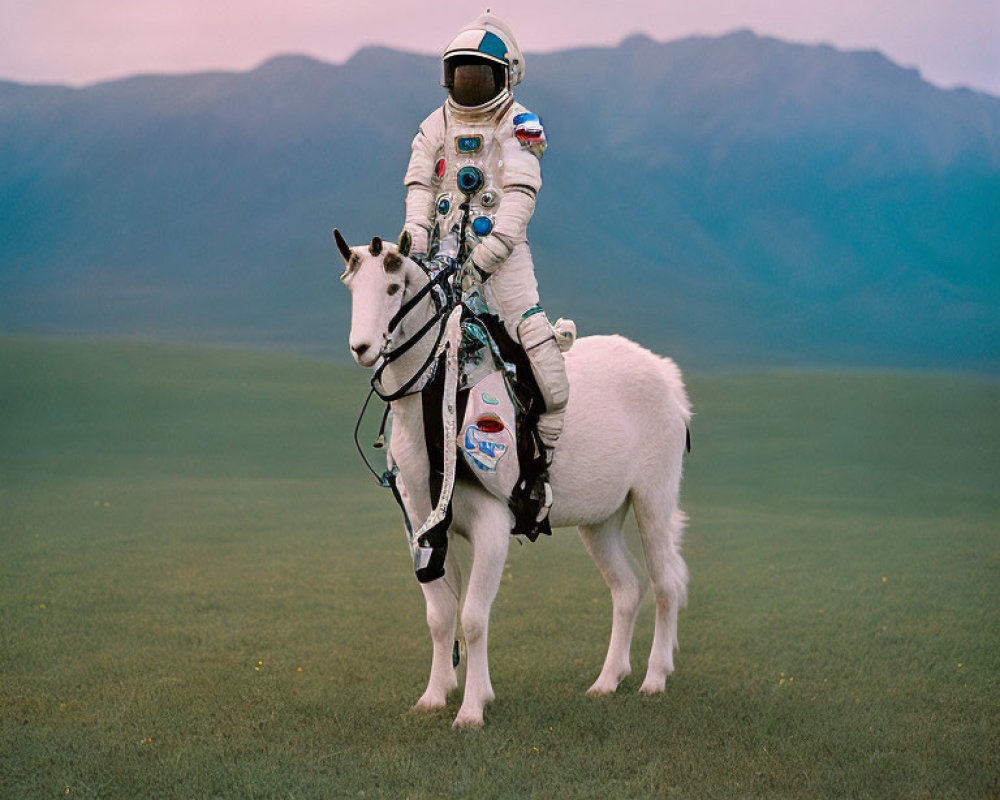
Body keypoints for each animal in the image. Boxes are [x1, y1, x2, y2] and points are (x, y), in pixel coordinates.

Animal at [340, 234, 692, 728]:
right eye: (351, 286)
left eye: (392, 287)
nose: (362, 347)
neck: (438, 408)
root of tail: (666, 376)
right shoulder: (423, 532)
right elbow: (440, 616)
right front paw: (434, 696)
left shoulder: (491, 527)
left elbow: (472, 617)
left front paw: (471, 709)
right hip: (600, 521)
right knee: (626, 589)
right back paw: (606, 682)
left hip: (652, 501)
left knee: (666, 582)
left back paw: (654, 679)